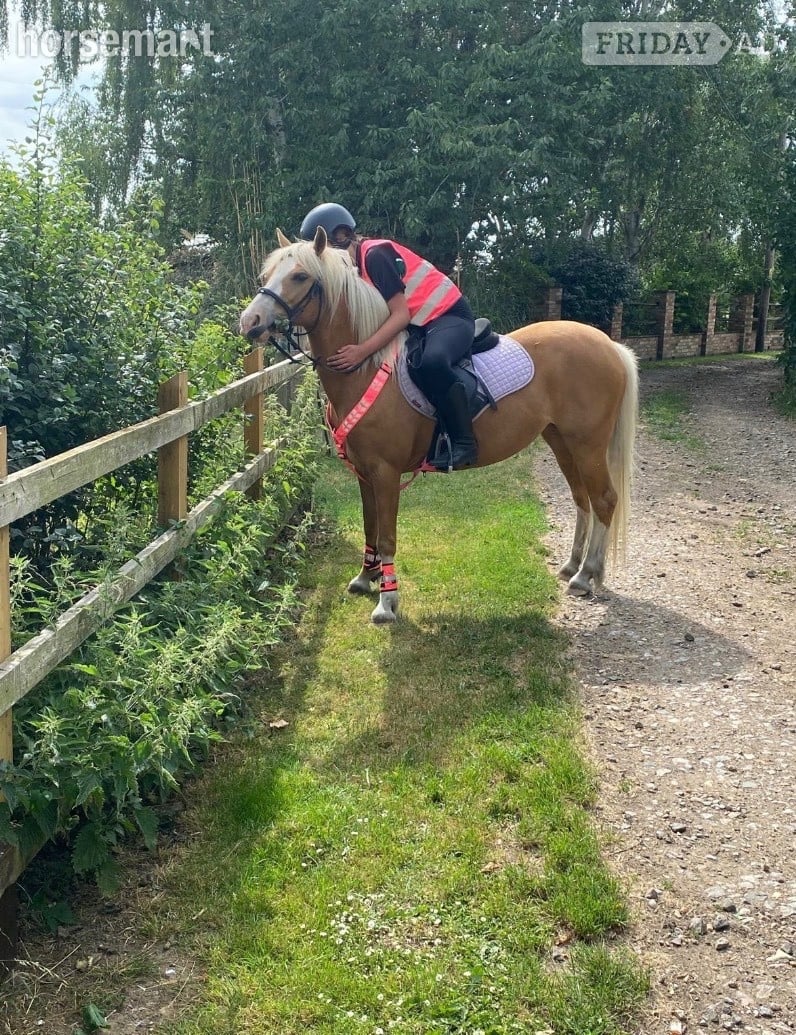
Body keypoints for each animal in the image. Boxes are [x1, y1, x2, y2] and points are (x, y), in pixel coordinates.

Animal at [240, 228, 638, 624]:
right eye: (266, 275)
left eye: (299, 276)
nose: (250, 322)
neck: (366, 367)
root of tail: (609, 345)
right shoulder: (365, 474)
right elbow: (371, 526)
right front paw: (366, 578)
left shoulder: (386, 473)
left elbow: (387, 536)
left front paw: (387, 602)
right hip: (561, 441)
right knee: (582, 498)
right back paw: (573, 566)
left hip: (587, 444)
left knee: (604, 499)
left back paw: (586, 576)